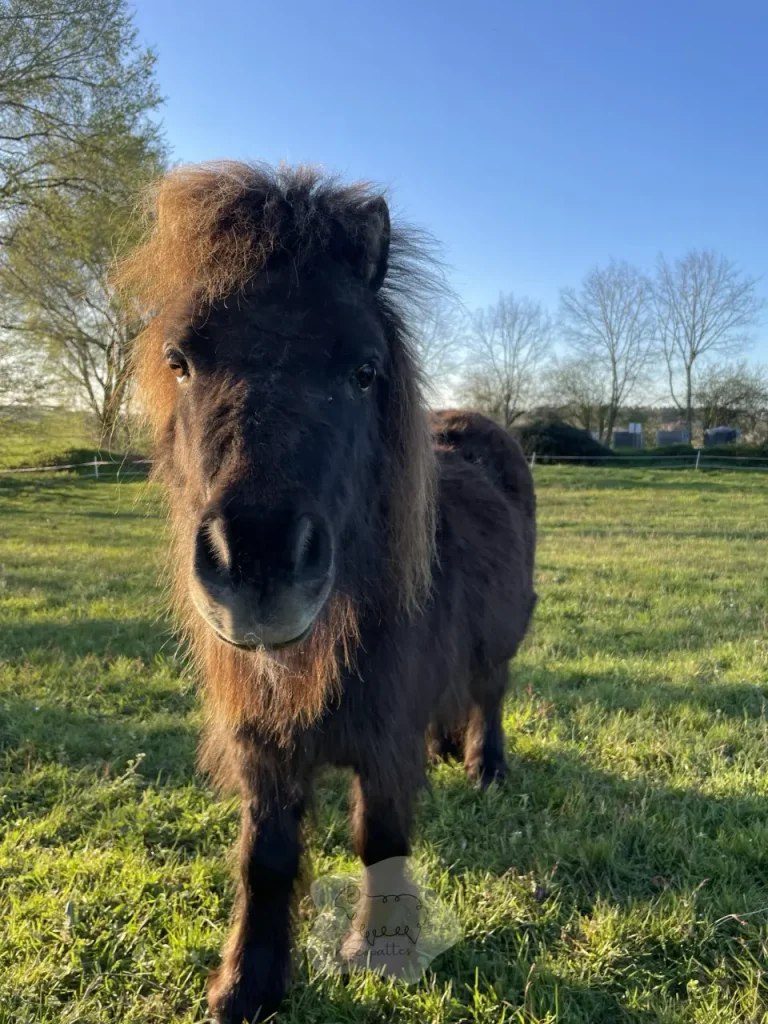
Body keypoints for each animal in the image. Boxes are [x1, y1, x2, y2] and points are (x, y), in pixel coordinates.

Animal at [118, 162, 536, 1023]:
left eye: (363, 369)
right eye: (181, 360)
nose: (259, 564)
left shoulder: (384, 741)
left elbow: (381, 840)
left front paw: (381, 952)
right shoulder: (263, 741)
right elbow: (267, 858)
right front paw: (247, 985)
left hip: (498, 651)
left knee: (488, 693)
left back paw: (484, 766)